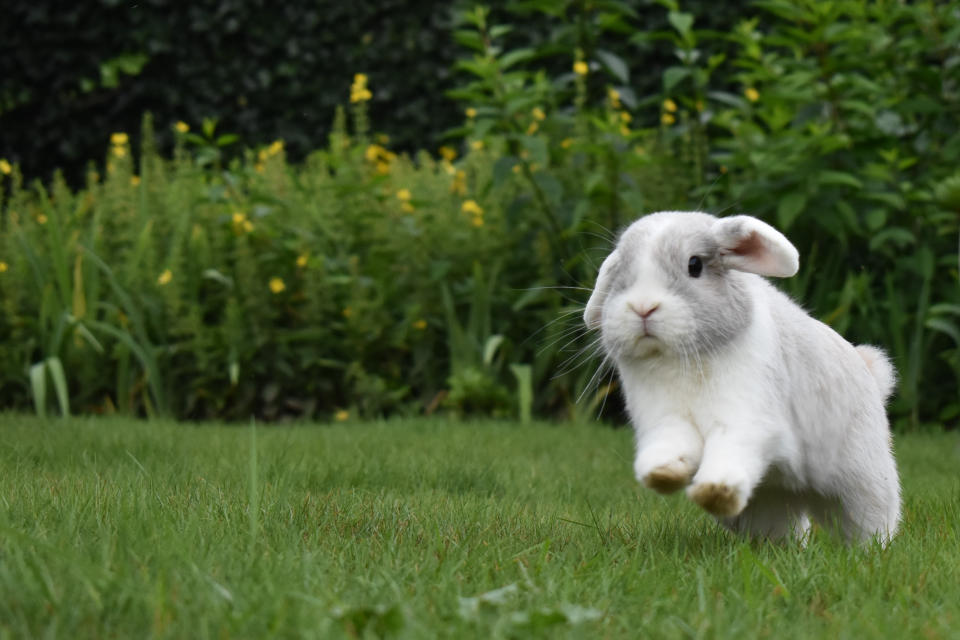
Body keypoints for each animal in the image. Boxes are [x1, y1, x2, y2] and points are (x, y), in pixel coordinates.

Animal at [580, 211, 904, 544]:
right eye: (621, 270)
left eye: (694, 265)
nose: (642, 307)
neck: (685, 359)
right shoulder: (667, 421)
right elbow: (670, 447)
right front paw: (662, 475)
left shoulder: (746, 420)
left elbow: (731, 450)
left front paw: (715, 492)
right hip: (769, 505)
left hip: (862, 483)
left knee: (869, 522)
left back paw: (873, 549)